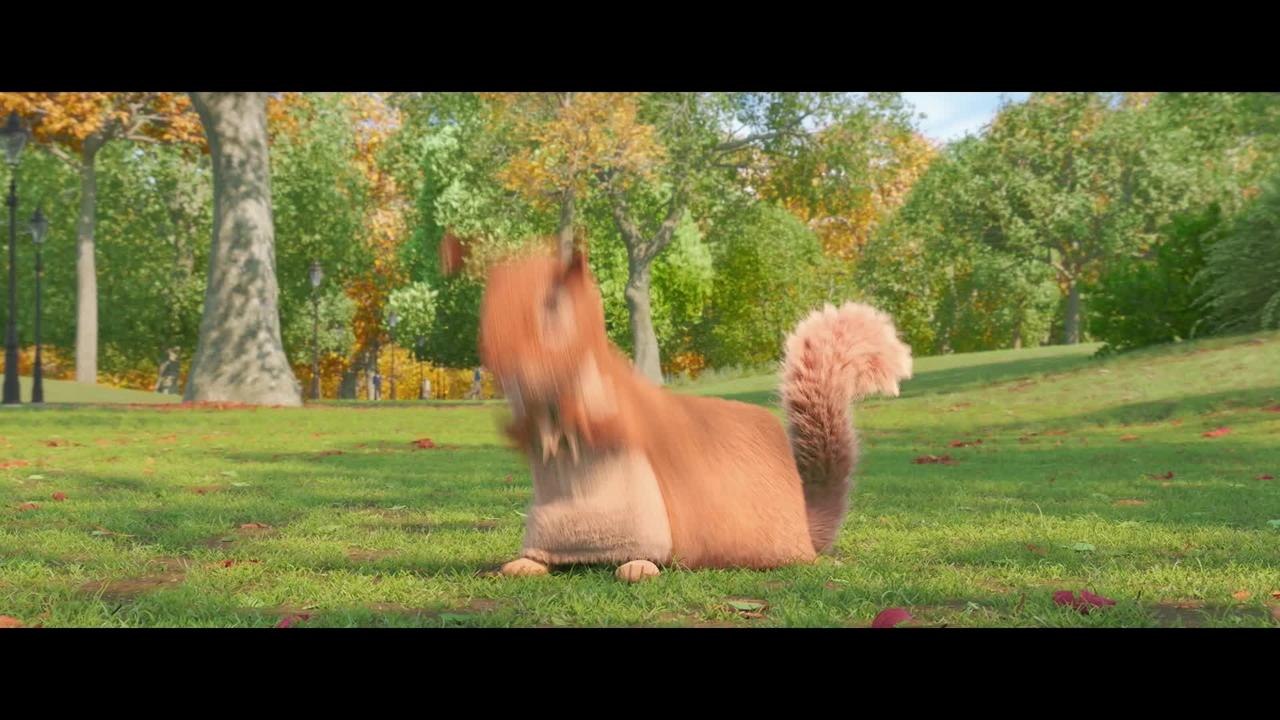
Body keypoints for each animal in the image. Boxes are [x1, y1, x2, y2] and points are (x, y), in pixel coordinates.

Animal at [476, 247, 913, 582]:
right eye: (489, 302)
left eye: (551, 306)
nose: (498, 356)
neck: (550, 393)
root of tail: (804, 532)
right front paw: (522, 431)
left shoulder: (624, 405)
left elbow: (611, 426)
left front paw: (578, 423)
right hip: (546, 526)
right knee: (546, 557)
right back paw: (523, 564)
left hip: (651, 525)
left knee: (645, 559)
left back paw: (638, 568)